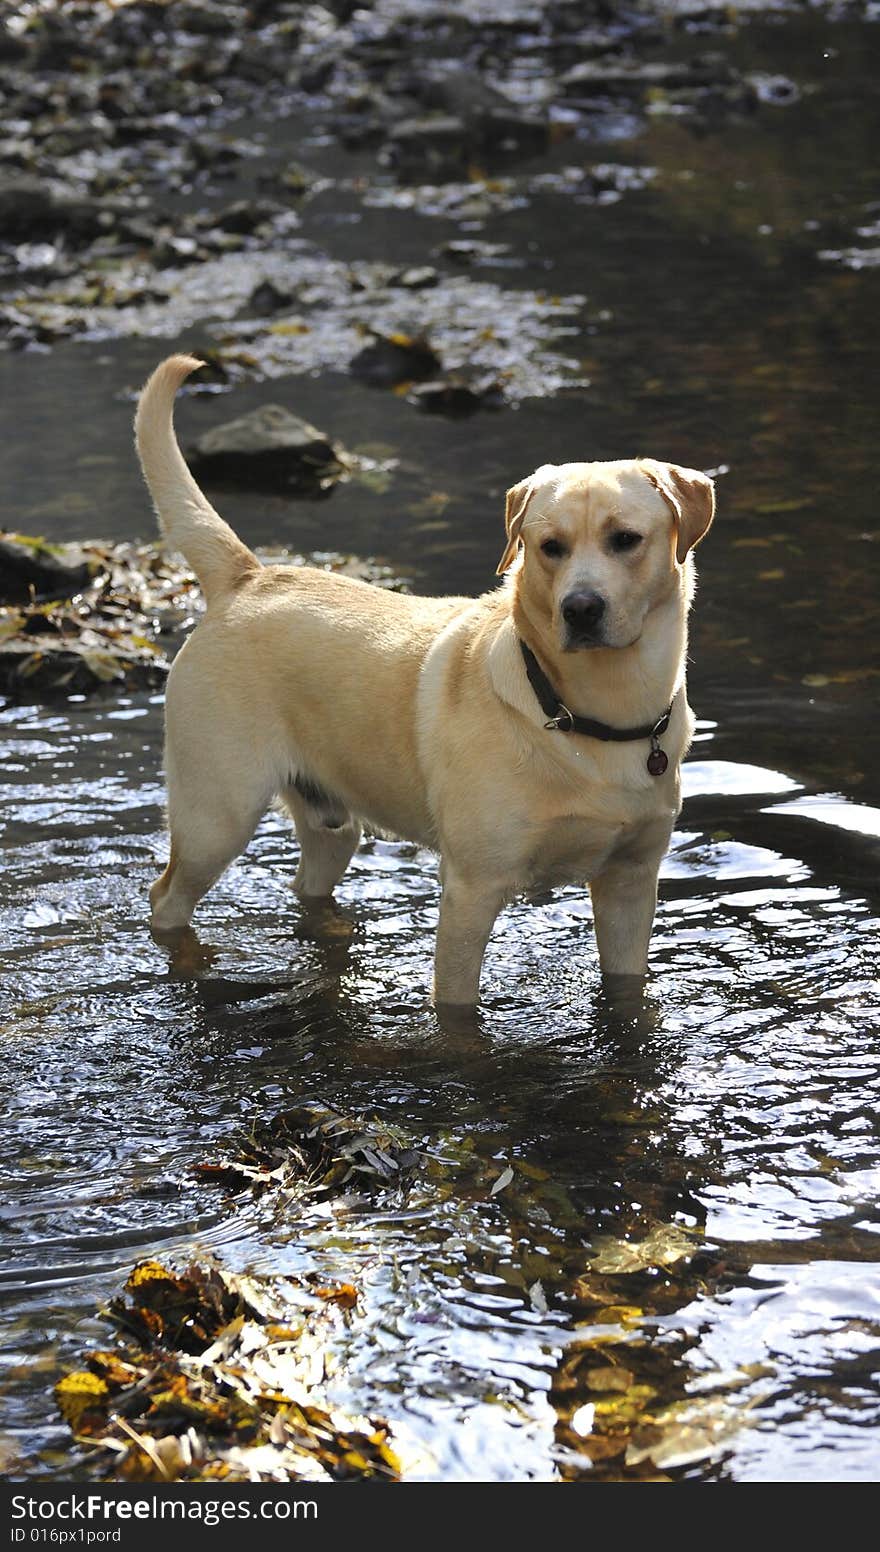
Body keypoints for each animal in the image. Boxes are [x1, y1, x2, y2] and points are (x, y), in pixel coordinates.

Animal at [138, 352, 717, 1005]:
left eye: (625, 540)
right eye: (550, 547)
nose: (580, 608)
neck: (593, 715)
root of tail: (249, 578)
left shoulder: (631, 884)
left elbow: (627, 989)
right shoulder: (471, 889)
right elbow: (457, 1006)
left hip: (330, 823)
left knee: (308, 883)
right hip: (217, 815)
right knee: (166, 898)